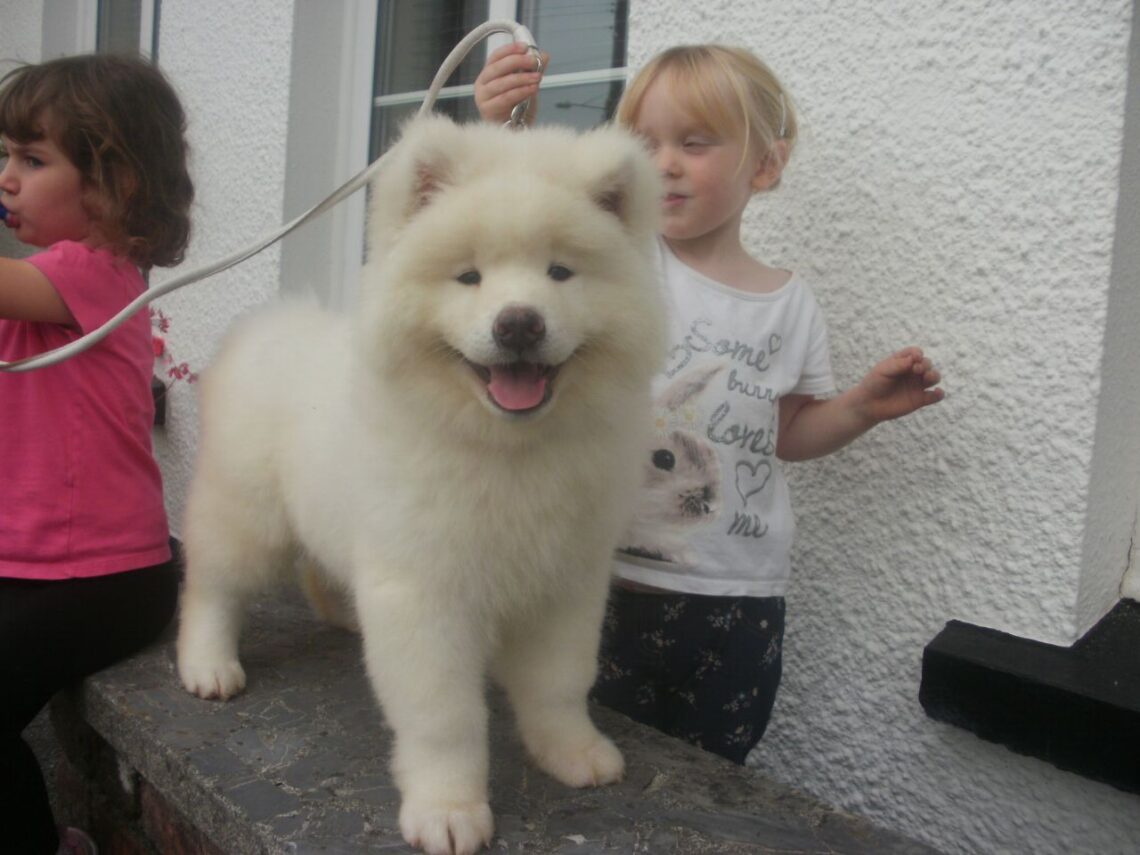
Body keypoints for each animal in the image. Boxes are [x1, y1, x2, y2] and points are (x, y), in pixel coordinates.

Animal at [173, 117, 665, 855]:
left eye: (560, 272)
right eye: (468, 277)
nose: (519, 322)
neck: (506, 450)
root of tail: (262, 328)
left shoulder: (566, 580)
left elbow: (559, 682)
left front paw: (573, 752)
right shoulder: (426, 590)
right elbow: (445, 717)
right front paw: (448, 811)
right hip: (247, 514)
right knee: (212, 585)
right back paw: (208, 665)